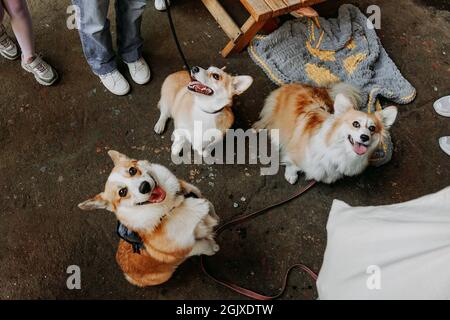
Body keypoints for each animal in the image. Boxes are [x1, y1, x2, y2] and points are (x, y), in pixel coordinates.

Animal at [78, 151, 219, 288]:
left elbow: (210, 207)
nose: (144, 186)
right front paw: (214, 247)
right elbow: (206, 246)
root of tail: (125, 272)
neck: (172, 208)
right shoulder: (189, 247)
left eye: (132, 170)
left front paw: (215, 220)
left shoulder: (200, 198)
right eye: (122, 192)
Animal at [255, 82, 400, 184]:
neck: (341, 150)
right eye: (355, 124)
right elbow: (293, 164)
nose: (364, 137)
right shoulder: (297, 152)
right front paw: (291, 175)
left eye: (372, 128)